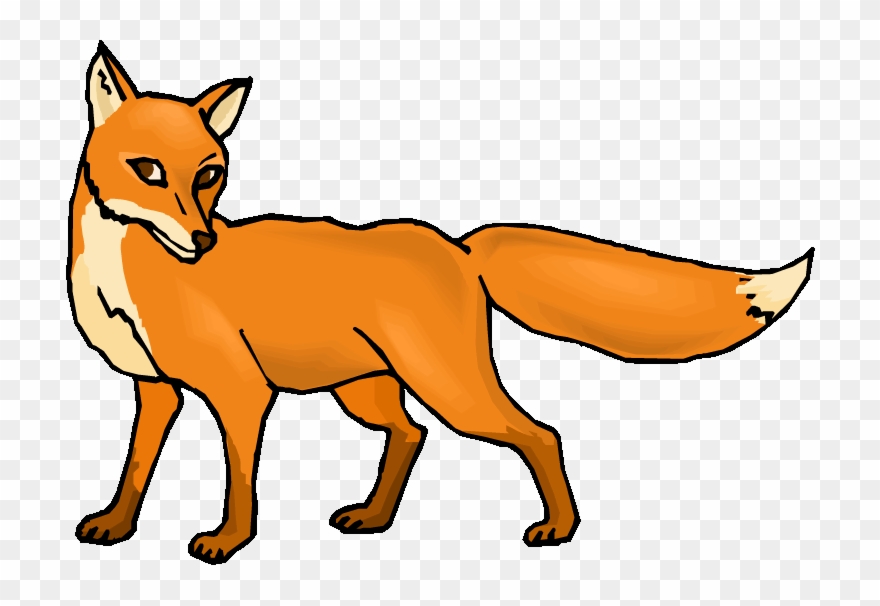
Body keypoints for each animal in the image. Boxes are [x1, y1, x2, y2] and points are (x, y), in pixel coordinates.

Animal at [68, 42, 813, 564]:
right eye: (148, 170)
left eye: (210, 174)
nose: (202, 241)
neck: (120, 276)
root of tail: (457, 244)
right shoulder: (154, 389)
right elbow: (135, 469)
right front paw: (115, 526)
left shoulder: (241, 391)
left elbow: (238, 480)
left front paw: (229, 542)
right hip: (366, 389)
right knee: (410, 434)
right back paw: (375, 518)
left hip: (449, 386)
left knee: (538, 433)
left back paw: (559, 528)